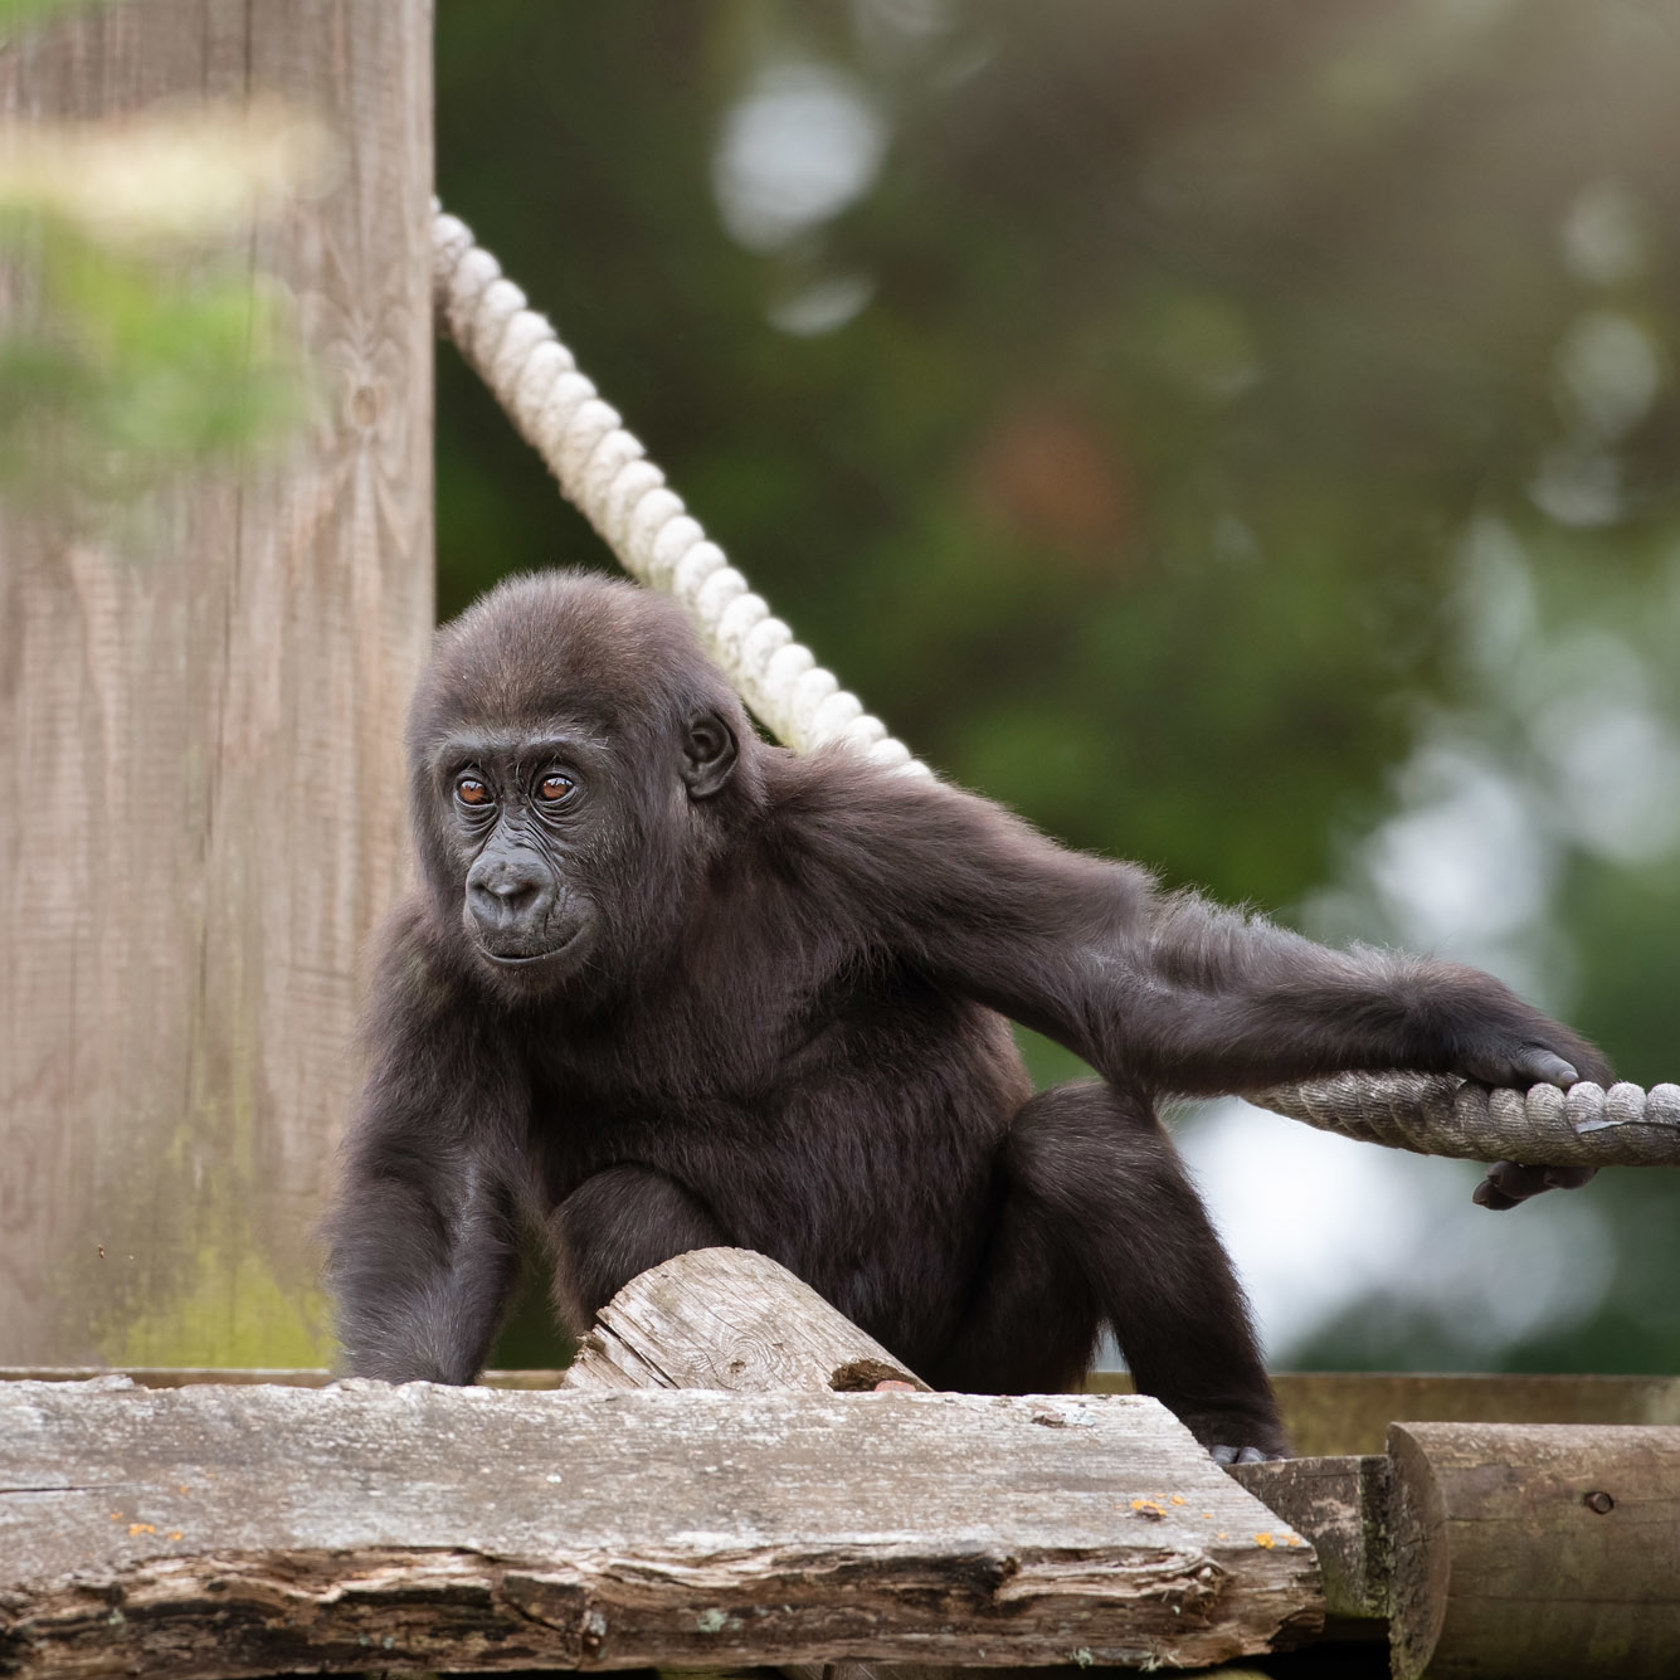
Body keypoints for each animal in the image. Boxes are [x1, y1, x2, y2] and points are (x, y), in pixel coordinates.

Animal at [326, 569, 1609, 1462]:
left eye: (555, 784)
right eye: (472, 789)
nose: (504, 885)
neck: (687, 886)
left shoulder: (886, 834)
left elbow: (1127, 975)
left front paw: (1464, 1020)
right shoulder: (433, 956)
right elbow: (436, 1205)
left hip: (991, 1379)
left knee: (1084, 1145)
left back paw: (1227, 1423)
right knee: (627, 1213)